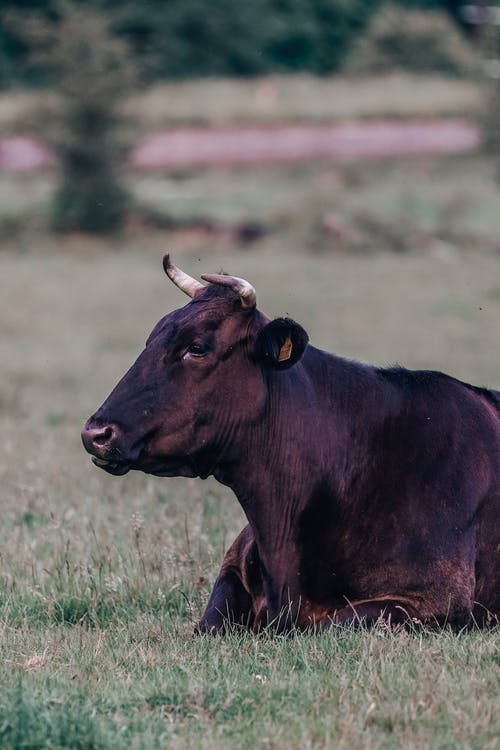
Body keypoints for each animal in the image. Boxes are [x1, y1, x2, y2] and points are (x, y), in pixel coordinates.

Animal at [82, 258, 500, 636]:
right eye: (150, 340)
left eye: (197, 347)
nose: (96, 432)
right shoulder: (231, 570)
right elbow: (210, 624)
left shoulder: (437, 600)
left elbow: (335, 624)